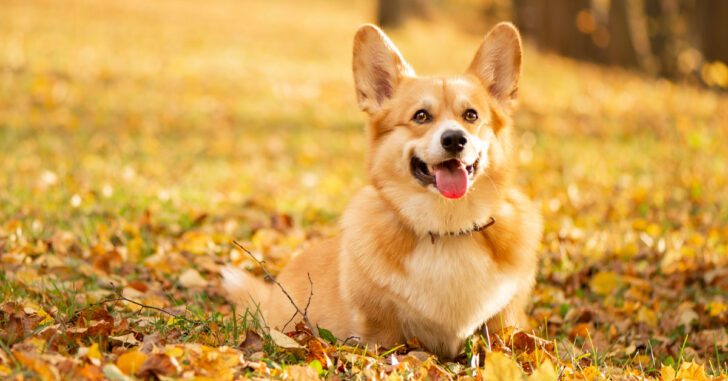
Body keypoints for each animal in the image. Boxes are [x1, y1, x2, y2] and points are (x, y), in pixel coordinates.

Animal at [225, 23, 544, 356]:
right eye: (421, 116)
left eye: (471, 115)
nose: (455, 139)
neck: (447, 228)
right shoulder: (380, 324)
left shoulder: (504, 319)